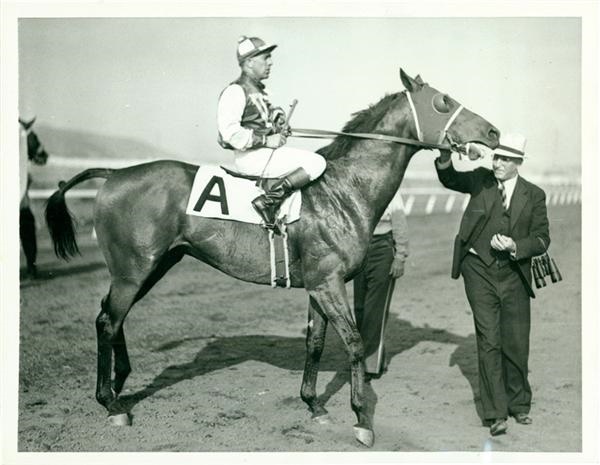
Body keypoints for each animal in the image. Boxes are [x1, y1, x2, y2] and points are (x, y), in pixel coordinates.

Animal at [44, 70, 500, 446]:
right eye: (442, 101)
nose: (494, 131)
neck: (342, 189)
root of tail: (114, 174)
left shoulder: (319, 284)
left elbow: (316, 342)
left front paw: (314, 404)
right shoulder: (329, 282)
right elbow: (354, 342)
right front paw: (361, 419)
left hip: (154, 266)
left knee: (111, 316)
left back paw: (120, 383)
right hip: (134, 270)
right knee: (107, 320)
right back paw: (111, 403)